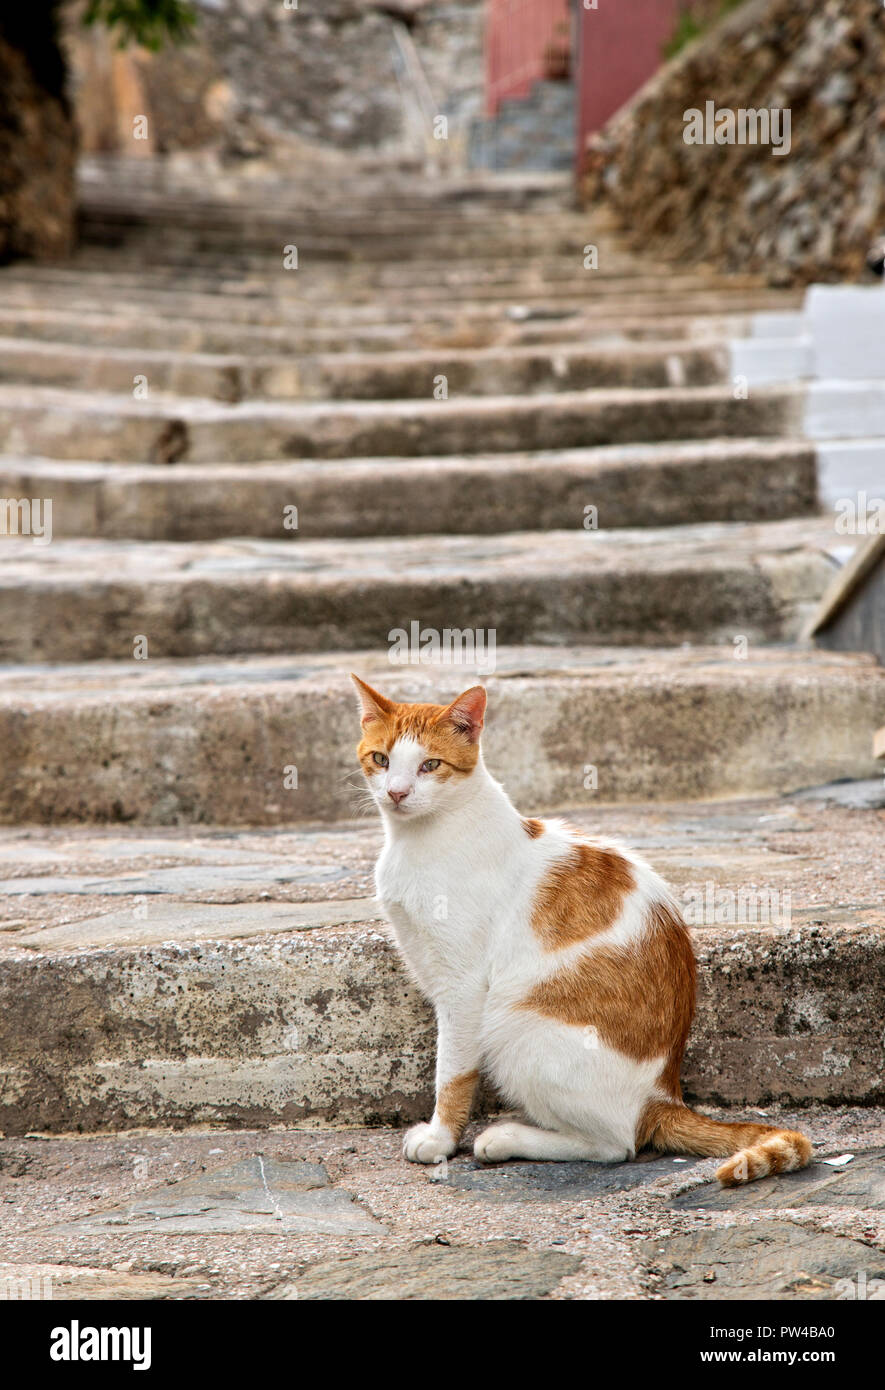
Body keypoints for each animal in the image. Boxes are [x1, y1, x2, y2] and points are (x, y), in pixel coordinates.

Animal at [350, 672, 805, 1184]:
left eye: (430, 765)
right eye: (381, 759)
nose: (397, 792)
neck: (420, 840)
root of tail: (663, 1096)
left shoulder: (462, 988)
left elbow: (453, 1072)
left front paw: (441, 1138)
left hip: (513, 1024)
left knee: (615, 1145)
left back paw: (507, 1138)